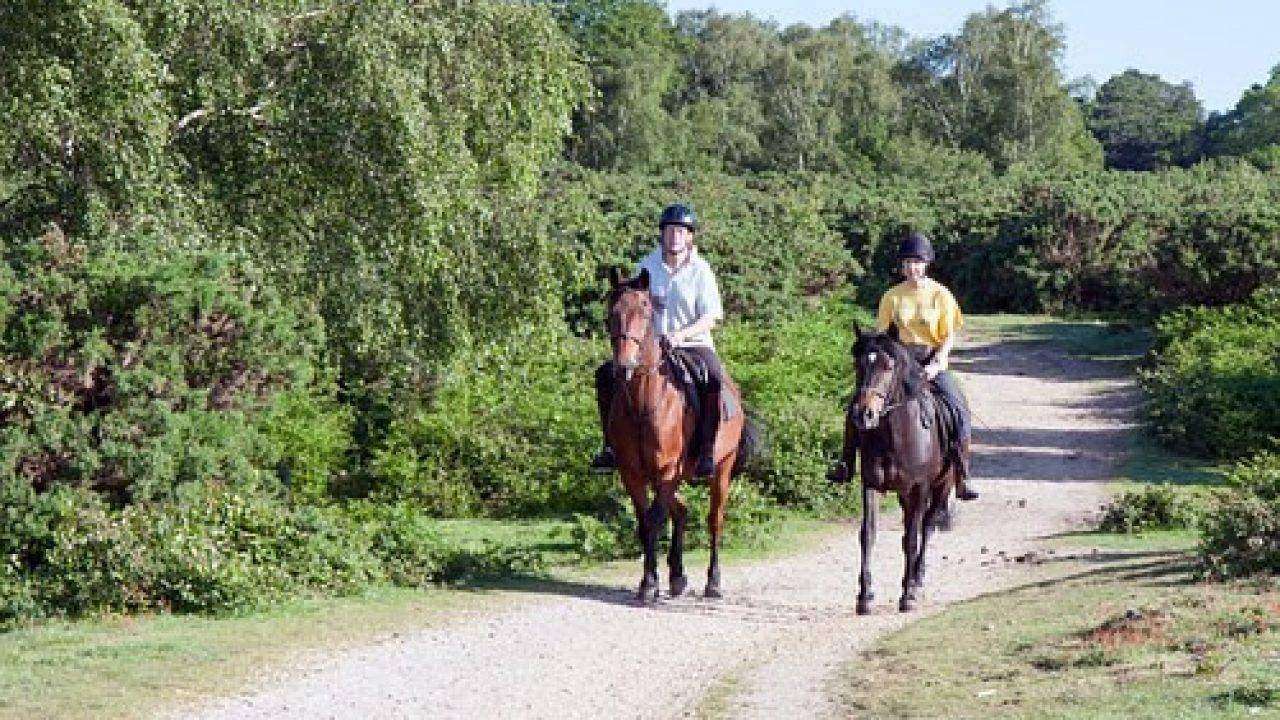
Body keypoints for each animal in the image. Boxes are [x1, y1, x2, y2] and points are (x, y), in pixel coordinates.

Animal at [604, 266, 752, 602]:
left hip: (721, 468)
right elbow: (645, 522)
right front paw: (651, 580)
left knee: (714, 520)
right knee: (681, 511)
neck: (644, 402)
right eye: (612, 312)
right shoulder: (633, 473)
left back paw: (713, 582)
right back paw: (677, 576)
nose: (624, 366)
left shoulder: (666, 470)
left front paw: (649, 584)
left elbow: (655, 519)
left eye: (646, 309)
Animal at [839, 322, 962, 607]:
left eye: (888, 366)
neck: (896, 437)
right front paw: (865, 596)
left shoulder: (920, 487)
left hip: (941, 487)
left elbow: (914, 538)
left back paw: (917, 580)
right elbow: (868, 534)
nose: (864, 414)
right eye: (857, 363)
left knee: (926, 528)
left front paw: (908, 594)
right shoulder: (870, 485)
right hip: (904, 494)